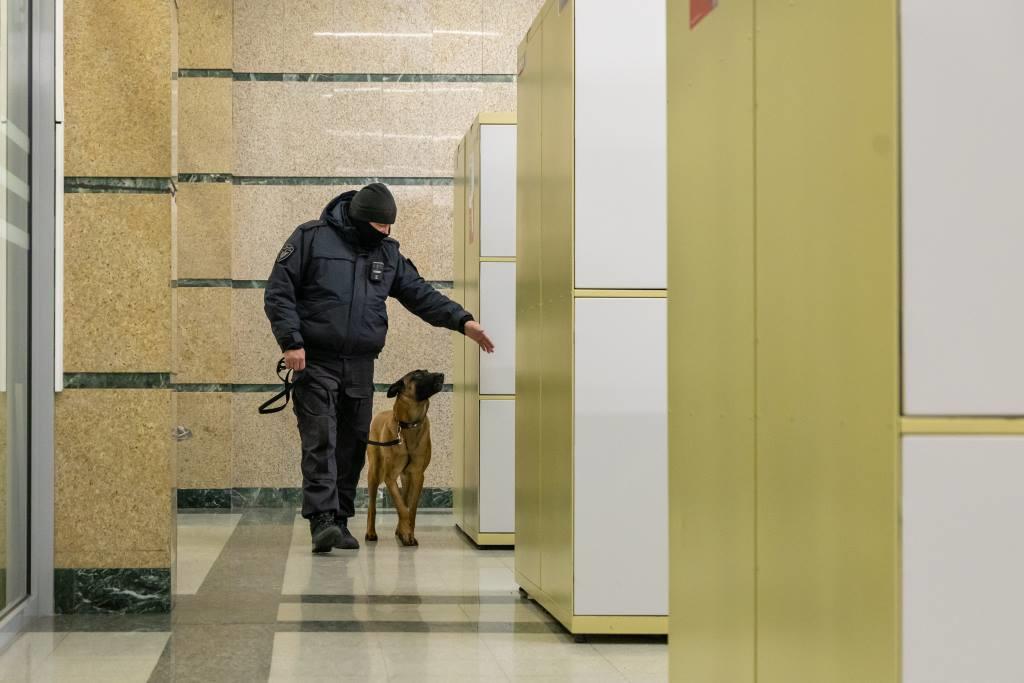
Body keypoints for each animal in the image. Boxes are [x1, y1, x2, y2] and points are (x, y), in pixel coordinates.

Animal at [365, 369, 445, 547]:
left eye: (427, 371)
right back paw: (371, 532)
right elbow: (402, 507)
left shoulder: (417, 475)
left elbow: (410, 508)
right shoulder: (389, 477)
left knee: (404, 499)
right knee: (372, 505)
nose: (442, 375)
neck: (409, 425)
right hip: (374, 473)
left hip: (406, 477)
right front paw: (406, 533)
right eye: (418, 375)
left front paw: (407, 533)